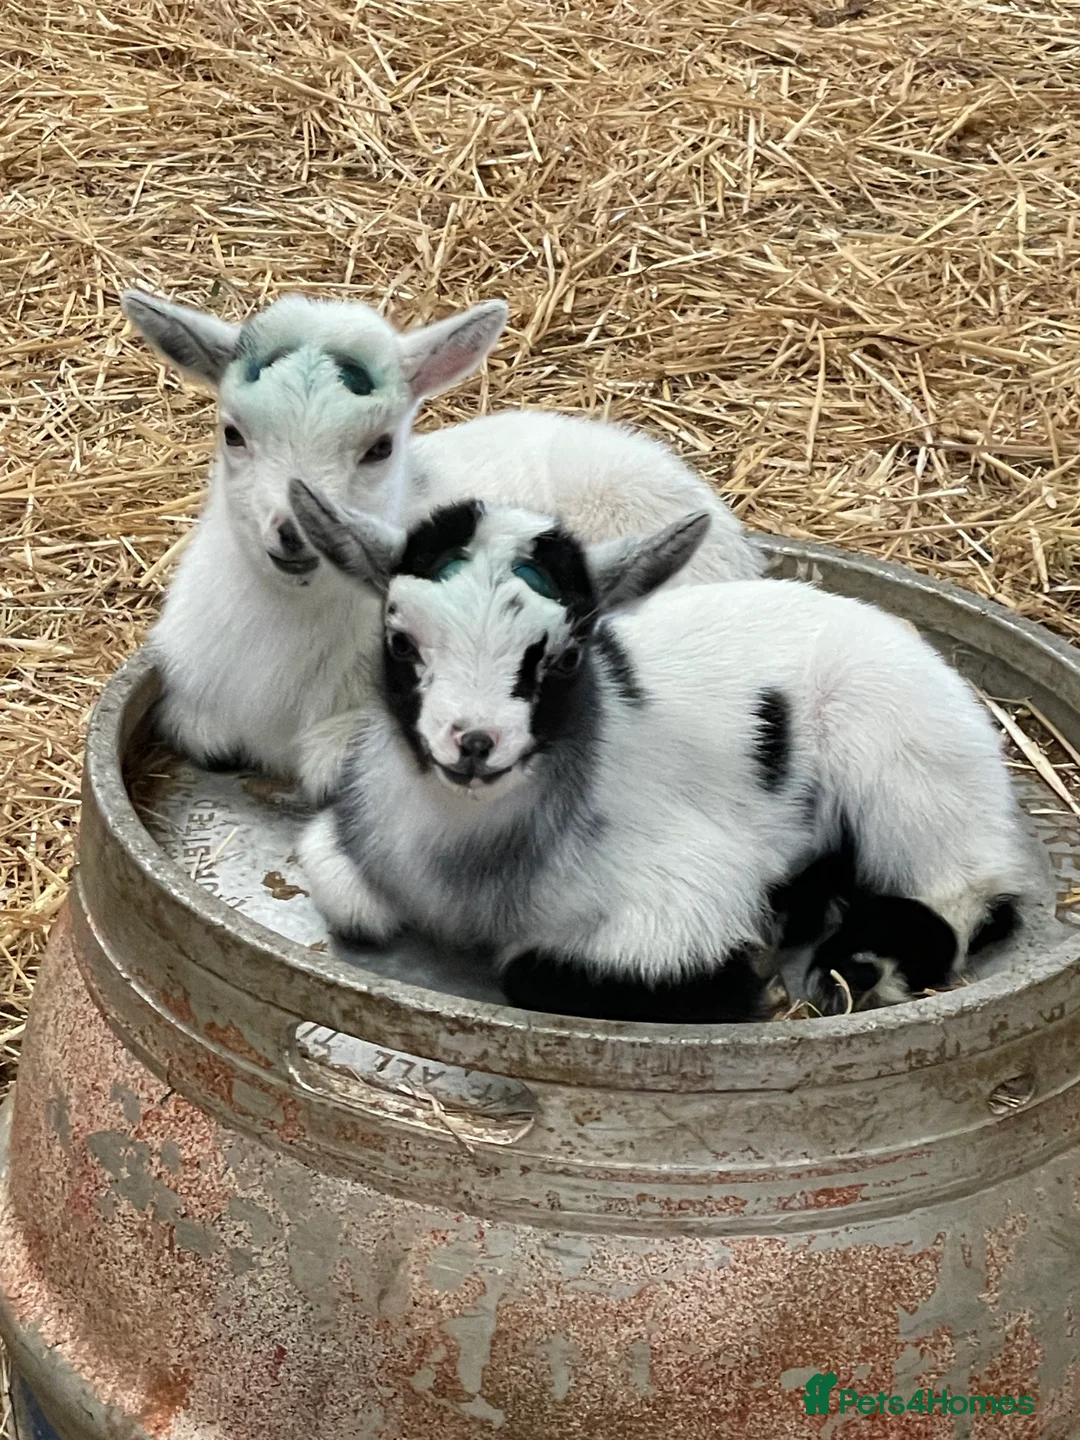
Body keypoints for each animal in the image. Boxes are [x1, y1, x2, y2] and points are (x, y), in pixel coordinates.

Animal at [287, 480, 1036, 1021]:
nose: (474, 743)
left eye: (566, 656)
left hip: (912, 774)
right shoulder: (359, 835)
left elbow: (529, 971)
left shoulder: (686, 888)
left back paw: (862, 967)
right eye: (400, 641)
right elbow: (344, 894)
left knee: (966, 894)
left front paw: (750, 974)